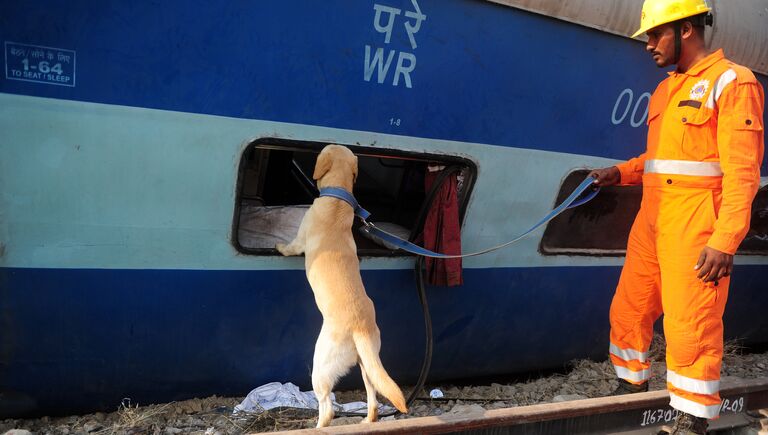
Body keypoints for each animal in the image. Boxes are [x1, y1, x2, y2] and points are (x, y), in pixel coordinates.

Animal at [276, 145, 408, 428]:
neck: (338, 199)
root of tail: (360, 327)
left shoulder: (300, 239)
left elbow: (290, 246)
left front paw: (279, 246)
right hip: (367, 365)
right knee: (373, 399)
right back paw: (367, 420)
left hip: (321, 366)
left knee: (327, 409)